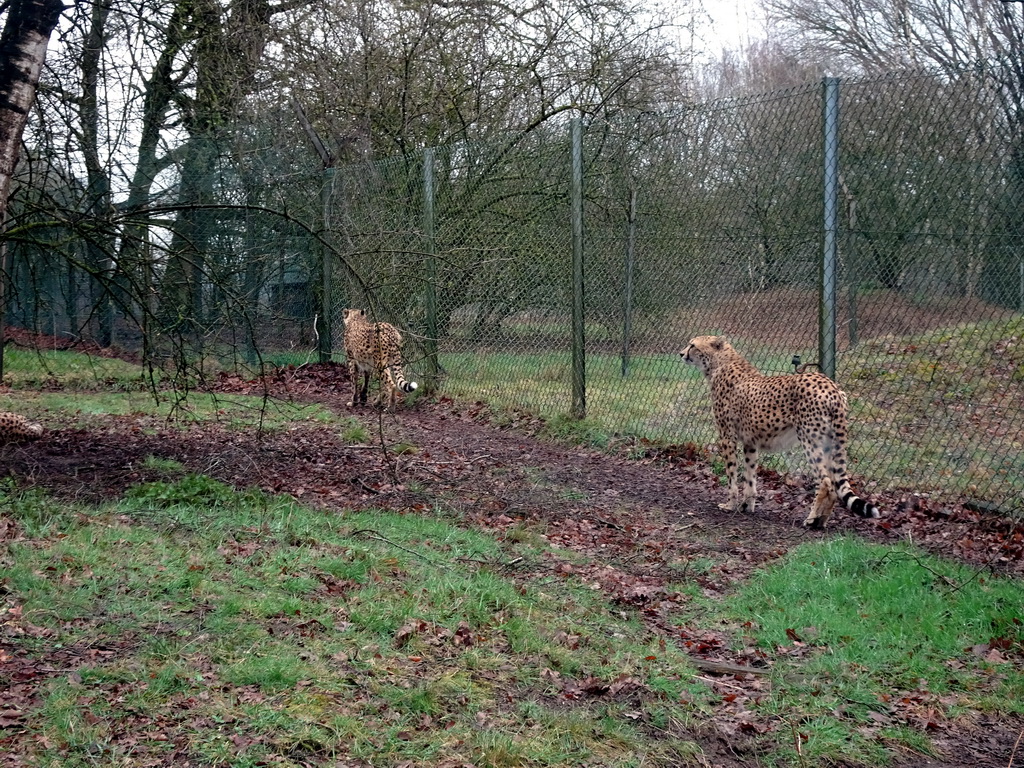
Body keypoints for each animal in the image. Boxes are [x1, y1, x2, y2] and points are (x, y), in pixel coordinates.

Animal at [679, 335, 880, 528]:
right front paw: (747, 506)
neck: (720, 362)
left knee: (825, 482)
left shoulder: (727, 437)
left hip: (810, 440)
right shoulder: (750, 442)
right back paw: (821, 521)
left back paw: (812, 520)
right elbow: (750, 477)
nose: (681, 354)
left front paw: (730, 505)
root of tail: (831, 385)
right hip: (830, 442)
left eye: (693, 345)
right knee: (833, 483)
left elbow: (732, 475)